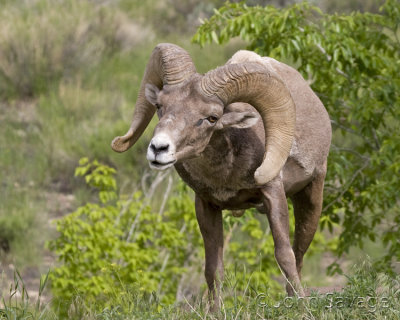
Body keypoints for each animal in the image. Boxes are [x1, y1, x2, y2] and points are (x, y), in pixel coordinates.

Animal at [111, 43, 332, 308]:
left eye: (211, 118)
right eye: (160, 106)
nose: (158, 148)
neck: (226, 173)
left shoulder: (273, 193)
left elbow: (285, 255)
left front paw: (300, 307)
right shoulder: (206, 205)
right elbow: (213, 269)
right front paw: (214, 311)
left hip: (311, 198)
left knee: (299, 253)